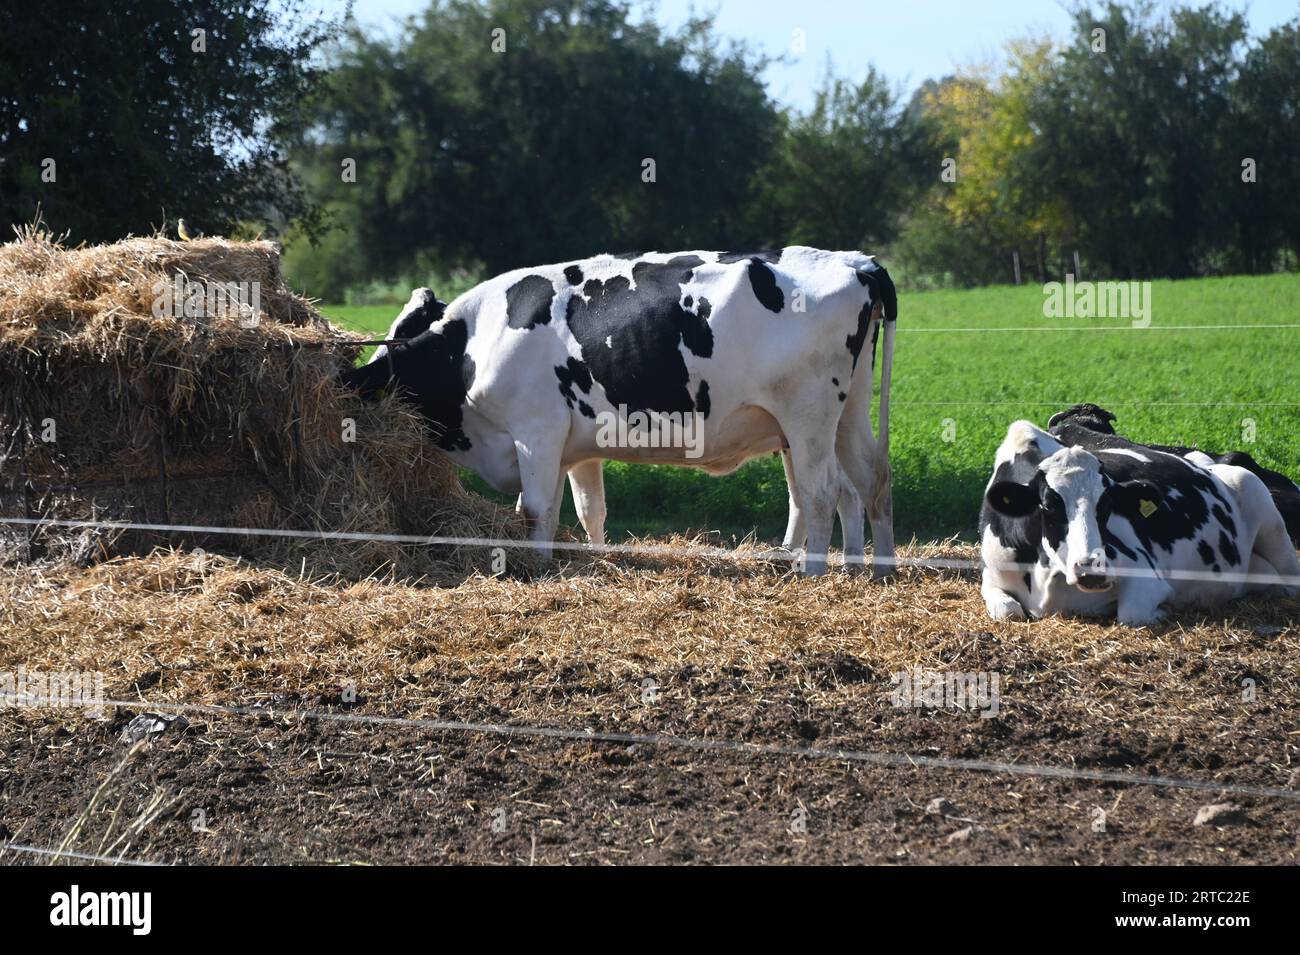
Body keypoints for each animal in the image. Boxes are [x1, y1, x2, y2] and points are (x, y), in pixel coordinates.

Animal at [340, 246, 899, 574]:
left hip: (808, 417)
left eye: (392, 350)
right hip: (844, 415)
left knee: (822, 493)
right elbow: (587, 508)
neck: (475, 342)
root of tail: (855, 262)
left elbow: (535, 510)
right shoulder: (574, 444)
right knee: (865, 482)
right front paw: (589, 559)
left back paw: (815, 572)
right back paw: (872, 569)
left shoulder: (536, 432)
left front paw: (538, 570)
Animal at [977, 420, 1294, 623]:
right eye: (1048, 505)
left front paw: (1165, 610)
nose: (1091, 569)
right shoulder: (992, 575)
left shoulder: (1145, 574)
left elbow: (1131, 613)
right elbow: (1008, 611)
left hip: (1264, 509)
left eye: (1107, 504)